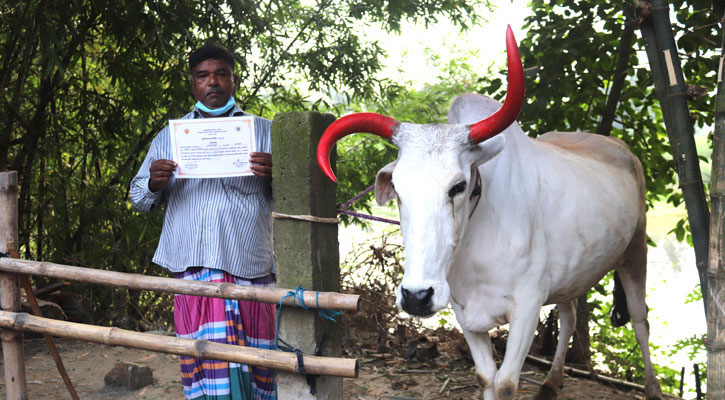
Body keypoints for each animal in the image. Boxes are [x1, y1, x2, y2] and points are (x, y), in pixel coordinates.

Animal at [317, 27, 663, 400]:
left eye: (458, 186)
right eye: (397, 188)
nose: (416, 296)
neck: (476, 244)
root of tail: (622, 148)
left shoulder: (527, 306)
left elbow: (507, 383)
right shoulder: (463, 310)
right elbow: (487, 377)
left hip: (635, 251)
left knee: (640, 319)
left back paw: (652, 388)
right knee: (570, 317)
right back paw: (551, 383)